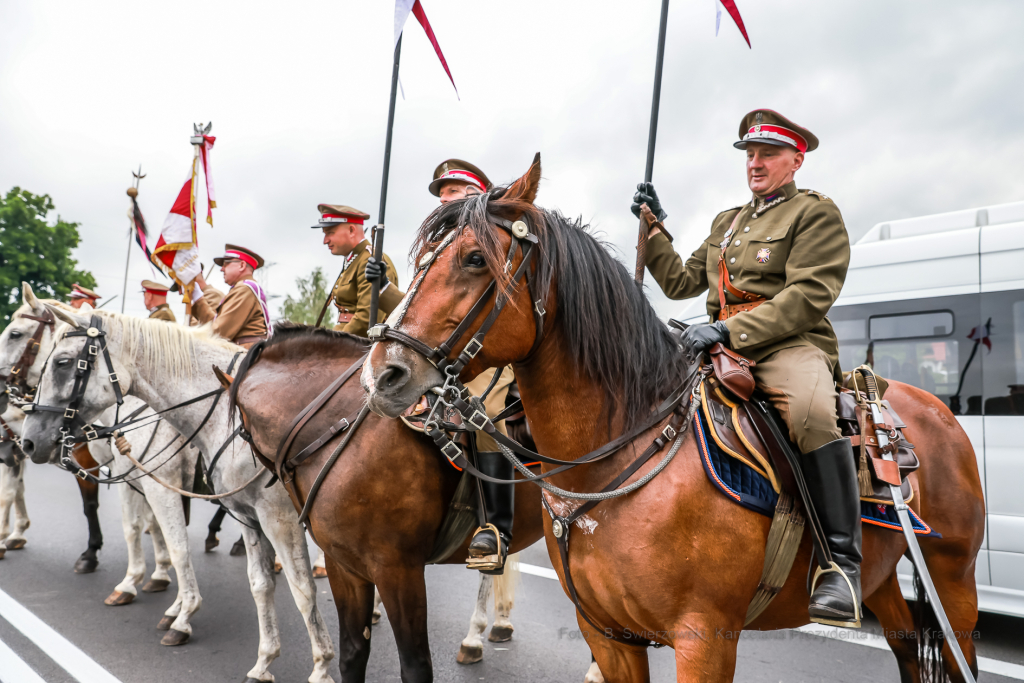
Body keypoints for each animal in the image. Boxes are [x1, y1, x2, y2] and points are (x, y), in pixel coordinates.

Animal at [23, 301, 335, 683]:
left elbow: (299, 588)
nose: (28, 440)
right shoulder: (236, 511)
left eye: (63, 362)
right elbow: (257, 582)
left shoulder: (277, 517)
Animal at [224, 321, 544, 683]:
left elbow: (415, 665)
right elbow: (352, 654)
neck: (342, 434)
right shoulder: (344, 567)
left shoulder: (398, 570)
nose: (235, 496)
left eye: (240, 431)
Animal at [360, 157, 983, 683]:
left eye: (472, 259)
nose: (382, 374)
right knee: (906, 648)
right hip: (886, 575)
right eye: (420, 262)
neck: (624, 451)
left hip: (953, 583)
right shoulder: (607, 634)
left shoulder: (705, 640)